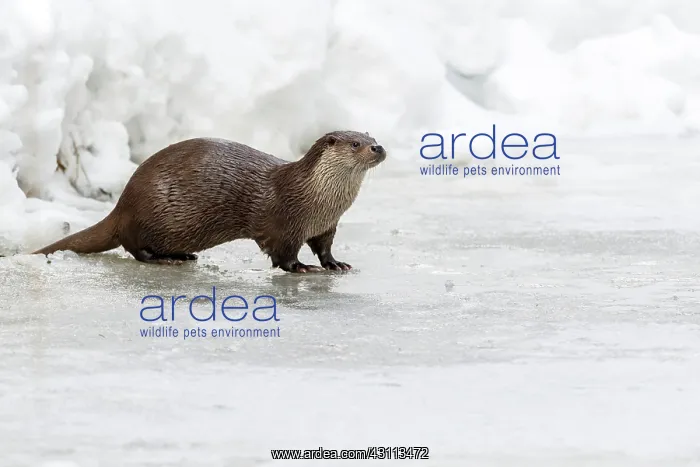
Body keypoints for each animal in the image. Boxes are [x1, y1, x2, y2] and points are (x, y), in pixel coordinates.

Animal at [33, 131, 386, 273]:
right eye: (355, 144)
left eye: (372, 137)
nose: (378, 148)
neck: (317, 201)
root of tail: (122, 205)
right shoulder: (283, 224)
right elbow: (283, 255)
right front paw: (302, 267)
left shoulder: (326, 226)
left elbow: (325, 248)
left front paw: (335, 264)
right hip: (147, 212)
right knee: (134, 248)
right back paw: (167, 259)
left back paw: (183, 254)